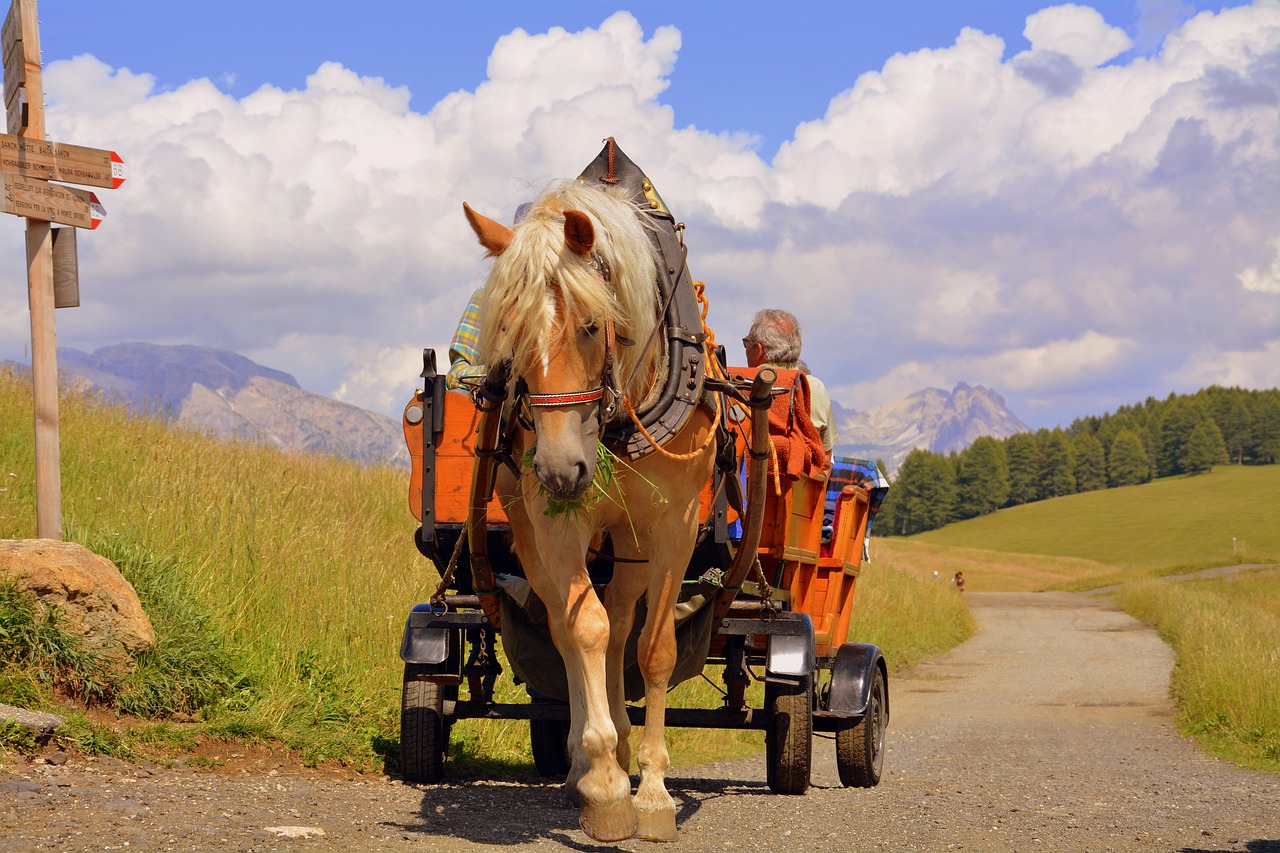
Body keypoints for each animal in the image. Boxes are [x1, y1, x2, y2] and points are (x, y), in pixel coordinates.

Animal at [463, 179, 721, 835]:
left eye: (590, 325)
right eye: (511, 334)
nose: (559, 469)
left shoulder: (676, 525)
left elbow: (653, 648)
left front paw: (652, 790)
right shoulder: (558, 525)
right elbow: (585, 629)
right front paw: (603, 780)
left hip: (632, 541)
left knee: (625, 616)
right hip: (532, 528)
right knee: (568, 625)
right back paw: (585, 762)